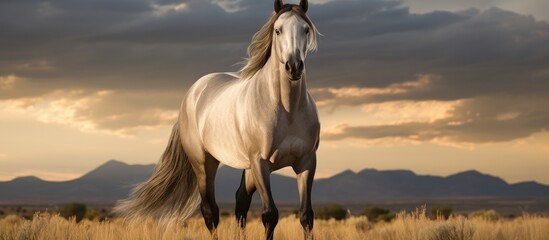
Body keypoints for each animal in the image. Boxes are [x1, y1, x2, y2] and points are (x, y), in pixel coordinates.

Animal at [114, 0, 322, 239]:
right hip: (205, 165)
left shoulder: (306, 162)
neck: (288, 109)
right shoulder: (261, 163)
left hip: (247, 167)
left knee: (241, 202)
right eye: (278, 30)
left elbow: (306, 216)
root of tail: (192, 94)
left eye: (305, 30)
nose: (294, 67)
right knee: (210, 211)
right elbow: (270, 215)